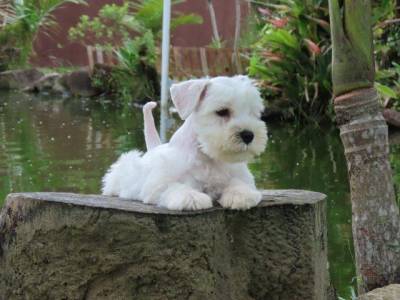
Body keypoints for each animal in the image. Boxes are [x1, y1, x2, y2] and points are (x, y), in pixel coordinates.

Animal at [101, 75, 268, 211]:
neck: (207, 156)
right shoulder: (158, 185)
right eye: (222, 111)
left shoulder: (241, 176)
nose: (248, 135)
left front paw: (240, 194)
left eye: (253, 113)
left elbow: (238, 182)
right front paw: (191, 197)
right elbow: (175, 186)